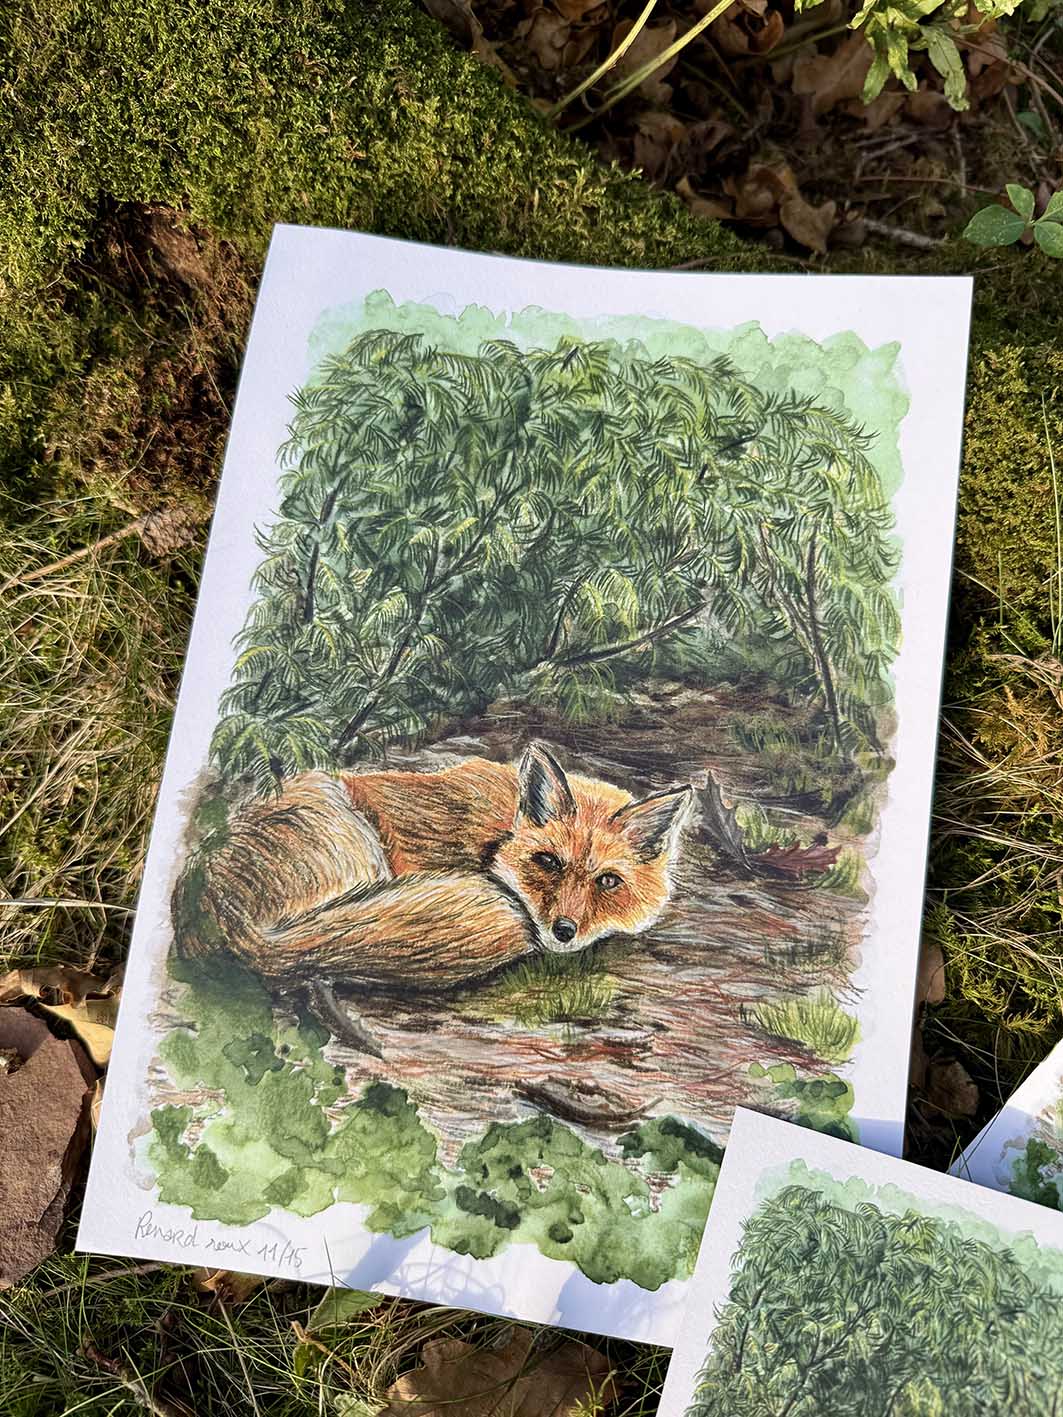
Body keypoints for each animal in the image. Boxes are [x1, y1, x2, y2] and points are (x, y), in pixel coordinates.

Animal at [173, 742, 694, 1054]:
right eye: (548, 861)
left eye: (608, 882)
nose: (563, 931)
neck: (495, 828)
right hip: (348, 831)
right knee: (312, 962)